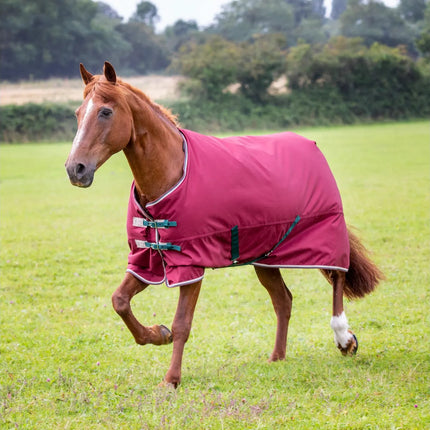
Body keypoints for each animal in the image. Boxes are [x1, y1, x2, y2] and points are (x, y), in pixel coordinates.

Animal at [66, 62, 382, 388]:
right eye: (78, 113)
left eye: (105, 112)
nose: (75, 169)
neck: (171, 173)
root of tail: (312, 146)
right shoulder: (148, 258)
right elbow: (120, 301)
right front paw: (158, 334)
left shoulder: (190, 264)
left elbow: (182, 324)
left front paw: (171, 379)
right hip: (266, 257)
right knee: (284, 300)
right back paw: (277, 357)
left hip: (324, 235)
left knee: (338, 276)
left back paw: (344, 338)